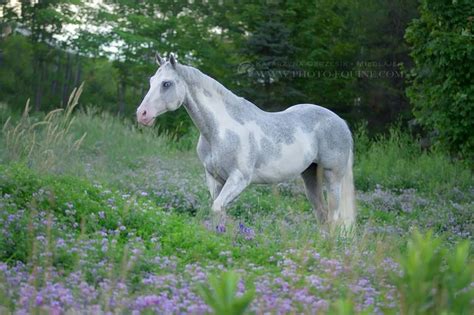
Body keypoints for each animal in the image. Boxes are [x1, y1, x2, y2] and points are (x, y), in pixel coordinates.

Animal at [135, 53, 354, 228]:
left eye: (166, 83)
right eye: (151, 81)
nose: (142, 114)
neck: (219, 131)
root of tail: (341, 122)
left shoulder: (239, 178)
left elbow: (217, 209)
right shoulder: (214, 178)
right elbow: (218, 211)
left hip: (332, 176)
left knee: (334, 217)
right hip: (310, 176)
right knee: (322, 215)